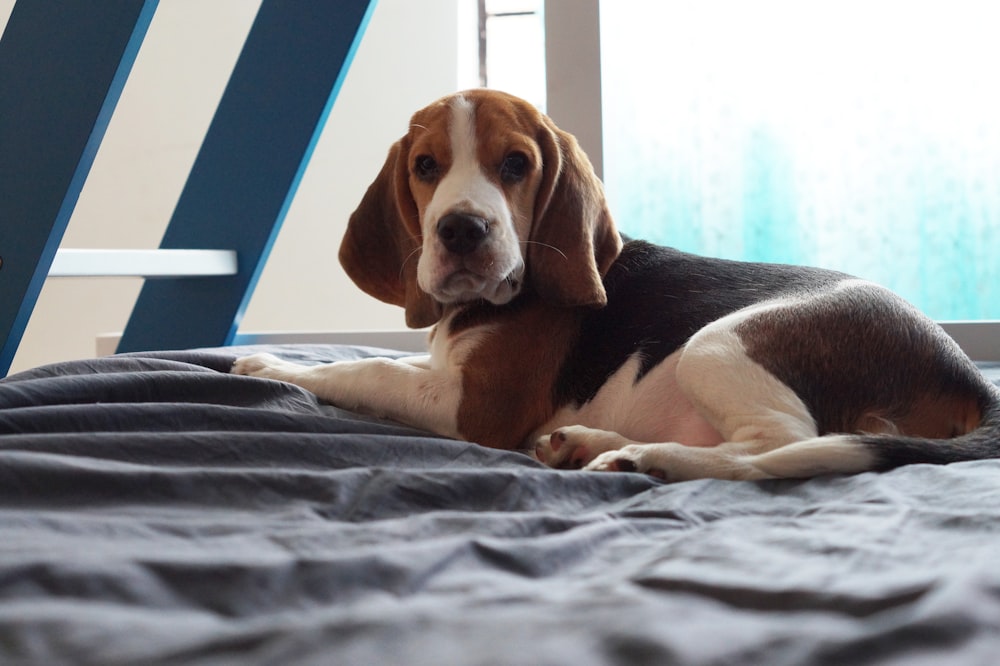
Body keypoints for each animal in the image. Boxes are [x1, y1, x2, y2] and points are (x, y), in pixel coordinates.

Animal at [232, 89, 1000, 482]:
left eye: (515, 165)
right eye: (425, 166)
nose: (462, 230)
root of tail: (964, 371)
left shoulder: (475, 408)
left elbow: (366, 371)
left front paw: (267, 364)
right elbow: (388, 361)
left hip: (717, 345)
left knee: (775, 446)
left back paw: (642, 457)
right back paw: (587, 443)